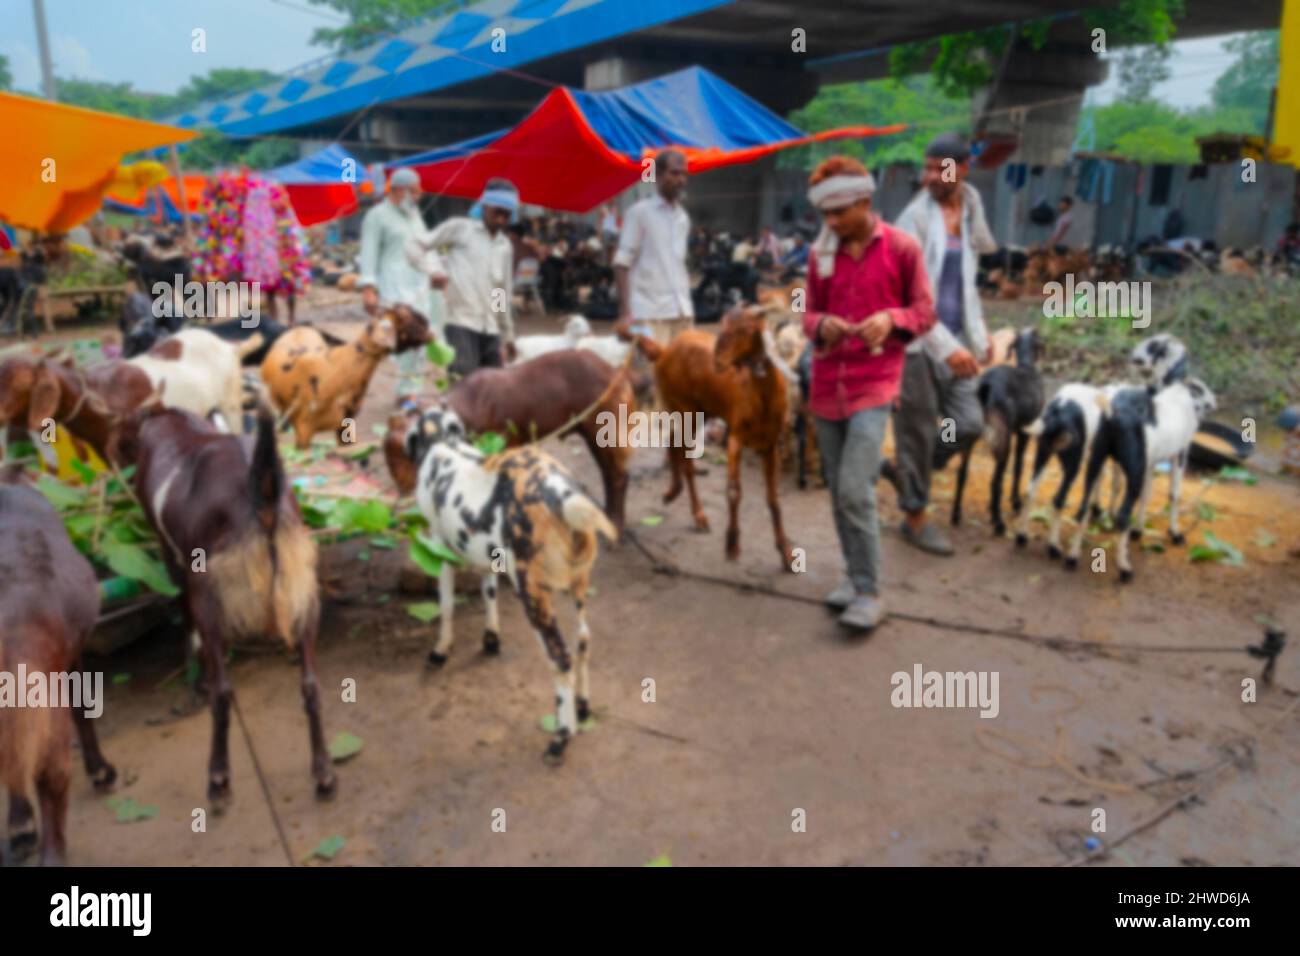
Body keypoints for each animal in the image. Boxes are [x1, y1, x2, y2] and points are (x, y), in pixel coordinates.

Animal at [408, 408, 616, 764]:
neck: (444, 443)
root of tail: (559, 493)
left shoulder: (440, 548)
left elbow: (446, 605)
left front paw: (440, 651)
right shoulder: (486, 554)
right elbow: (488, 592)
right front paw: (491, 639)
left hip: (532, 593)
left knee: (561, 658)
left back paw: (561, 737)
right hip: (577, 586)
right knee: (584, 641)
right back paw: (583, 707)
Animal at [637, 306, 790, 567]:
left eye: (746, 329)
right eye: (722, 324)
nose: (718, 361)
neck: (763, 398)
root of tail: (664, 350)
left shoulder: (770, 445)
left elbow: (773, 498)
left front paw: (786, 552)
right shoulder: (736, 437)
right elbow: (733, 491)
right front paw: (732, 543)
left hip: (700, 410)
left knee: (673, 439)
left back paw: (672, 491)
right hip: (683, 406)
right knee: (684, 456)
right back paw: (699, 515)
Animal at [956, 329, 1045, 535]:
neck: (1026, 367)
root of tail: (985, 390)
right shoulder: (1024, 432)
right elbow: (1019, 467)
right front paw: (1016, 503)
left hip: (970, 438)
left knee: (962, 473)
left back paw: (955, 516)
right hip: (1003, 442)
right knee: (995, 482)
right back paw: (998, 523)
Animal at [1066, 377, 1216, 580]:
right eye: (1201, 388)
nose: (1214, 401)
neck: (1180, 399)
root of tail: (1113, 413)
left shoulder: (1150, 462)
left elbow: (1147, 494)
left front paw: (1138, 530)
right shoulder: (1179, 455)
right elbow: (1173, 495)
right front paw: (1175, 534)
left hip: (1098, 458)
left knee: (1086, 504)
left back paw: (1073, 555)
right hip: (1133, 468)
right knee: (1122, 515)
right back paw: (1124, 568)